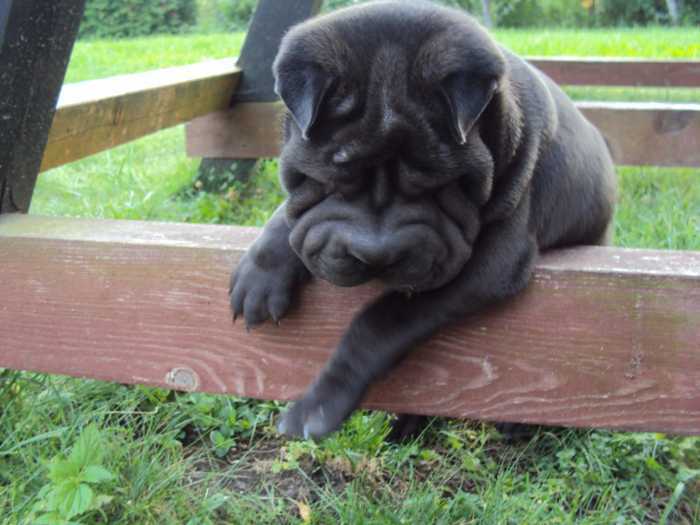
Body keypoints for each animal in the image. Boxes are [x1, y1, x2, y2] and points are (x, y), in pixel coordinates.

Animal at [228, 0, 612, 440]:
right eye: (332, 181)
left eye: (440, 187)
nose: (376, 255)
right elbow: (290, 214)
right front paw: (260, 276)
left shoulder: (491, 263)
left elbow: (384, 321)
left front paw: (317, 406)